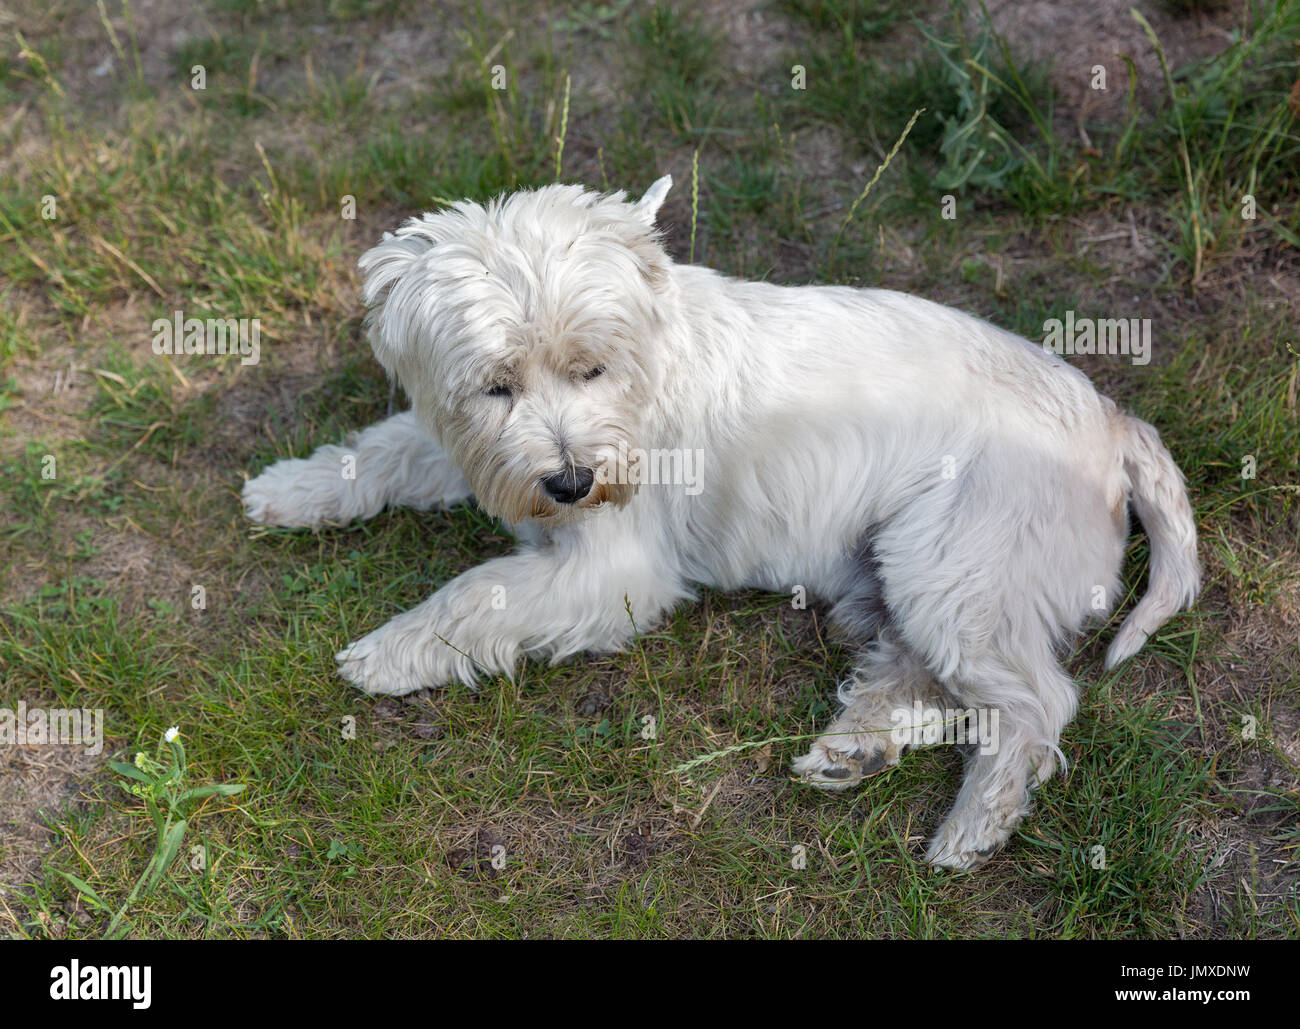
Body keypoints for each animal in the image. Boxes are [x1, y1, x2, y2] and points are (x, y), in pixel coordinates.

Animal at [241, 176, 1196, 867]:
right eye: (495, 384)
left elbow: (477, 594)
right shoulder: (475, 450)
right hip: (905, 572)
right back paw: (856, 749)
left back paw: (970, 828)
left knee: (1035, 701)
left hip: (953, 562)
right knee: (929, 679)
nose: (572, 481)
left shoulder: (610, 571)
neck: (639, 371)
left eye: (590, 368)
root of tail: (1117, 425)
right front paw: (290, 490)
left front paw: (386, 651)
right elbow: (385, 451)